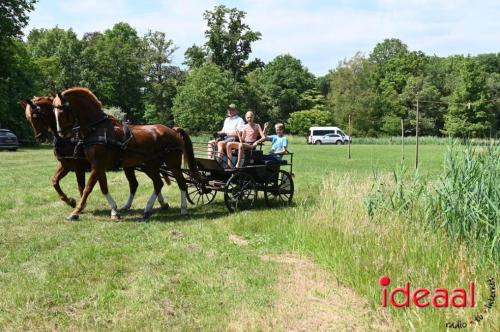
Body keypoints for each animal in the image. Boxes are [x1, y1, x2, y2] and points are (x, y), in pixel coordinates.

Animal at [51, 87, 197, 220]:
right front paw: (114, 211)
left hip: (173, 164)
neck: (97, 129)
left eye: (61, 110)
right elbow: (103, 187)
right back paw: (147, 209)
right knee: (158, 183)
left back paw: (183, 209)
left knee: (181, 183)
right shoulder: (98, 166)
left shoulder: (96, 165)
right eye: (53, 112)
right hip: (151, 165)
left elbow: (88, 188)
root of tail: (173, 130)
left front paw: (76, 212)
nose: (61, 134)